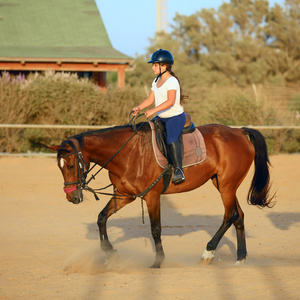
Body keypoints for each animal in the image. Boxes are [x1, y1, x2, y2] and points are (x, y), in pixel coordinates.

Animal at [48, 122, 274, 268]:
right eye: (59, 167)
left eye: (70, 165)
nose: (72, 197)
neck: (128, 153)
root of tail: (238, 131)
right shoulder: (124, 195)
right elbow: (101, 218)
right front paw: (110, 254)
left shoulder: (152, 196)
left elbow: (155, 229)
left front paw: (158, 262)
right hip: (223, 184)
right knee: (239, 216)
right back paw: (240, 257)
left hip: (227, 186)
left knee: (230, 215)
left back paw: (208, 253)